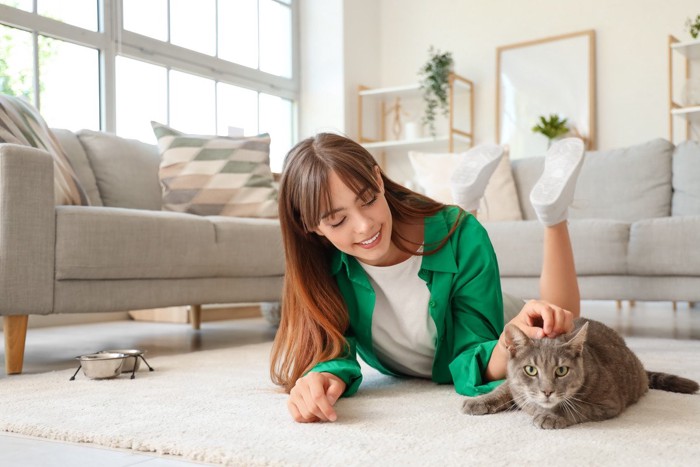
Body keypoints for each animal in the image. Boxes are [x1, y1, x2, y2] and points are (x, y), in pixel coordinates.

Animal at [462, 316, 696, 430]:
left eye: (561, 370)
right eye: (531, 370)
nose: (547, 391)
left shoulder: (608, 404)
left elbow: (576, 408)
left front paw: (551, 416)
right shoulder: (514, 384)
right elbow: (504, 388)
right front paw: (479, 400)